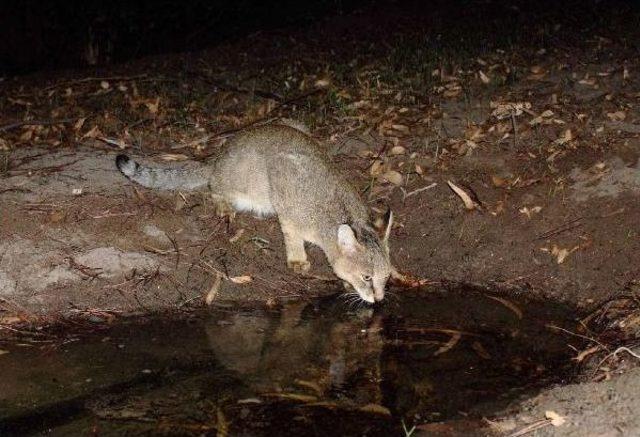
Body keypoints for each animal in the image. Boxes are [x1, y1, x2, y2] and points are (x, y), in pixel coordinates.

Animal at [116, 121, 396, 302]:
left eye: (386, 278)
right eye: (367, 277)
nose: (379, 300)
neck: (337, 215)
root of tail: (216, 157)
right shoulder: (286, 198)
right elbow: (292, 236)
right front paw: (297, 259)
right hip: (238, 182)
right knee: (214, 188)